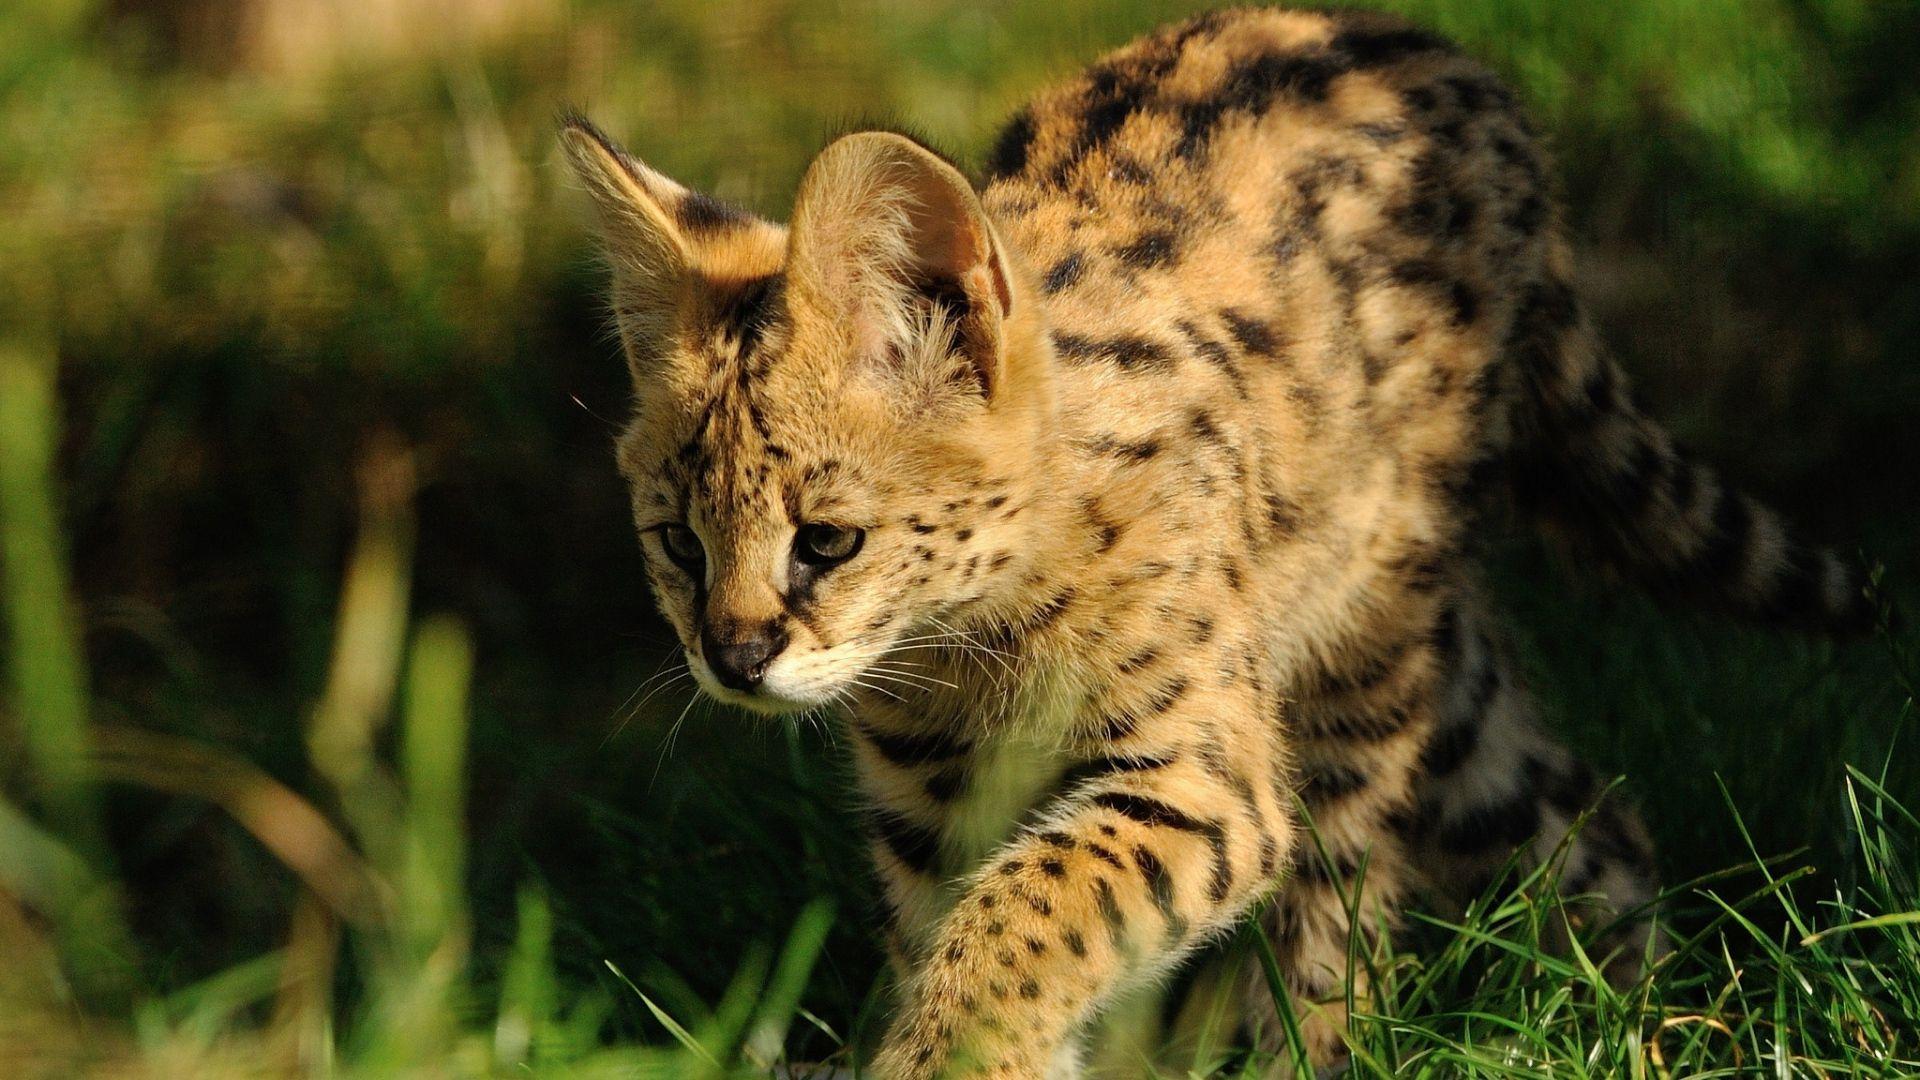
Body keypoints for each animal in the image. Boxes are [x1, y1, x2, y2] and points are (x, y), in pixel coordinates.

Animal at [559, 6, 1870, 1076]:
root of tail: (1455, 64)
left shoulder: (1206, 777)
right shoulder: (932, 811)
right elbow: (976, 931)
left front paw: (952, 1056)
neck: (963, 643)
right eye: (677, 543)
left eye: (827, 542)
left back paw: (1327, 1051)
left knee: (1344, 899)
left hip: (1359, 655)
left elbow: (1031, 910)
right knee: (1581, 813)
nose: (733, 661)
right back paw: (1639, 1019)